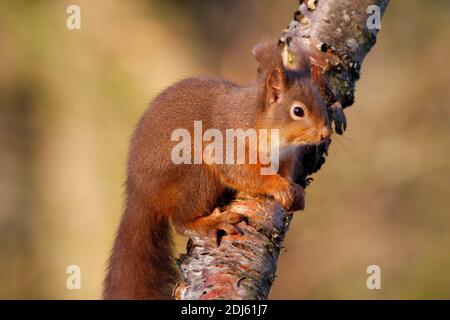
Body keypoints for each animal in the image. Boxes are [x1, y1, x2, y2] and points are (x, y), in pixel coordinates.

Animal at [103, 41, 332, 298]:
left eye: (322, 102)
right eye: (298, 111)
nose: (325, 133)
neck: (259, 121)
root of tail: (140, 194)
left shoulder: (285, 157)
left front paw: (295, 191)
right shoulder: (228, 144)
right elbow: (241, 172)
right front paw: (279, 186)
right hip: (197, 172)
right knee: (180, 221)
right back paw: (210, 223)